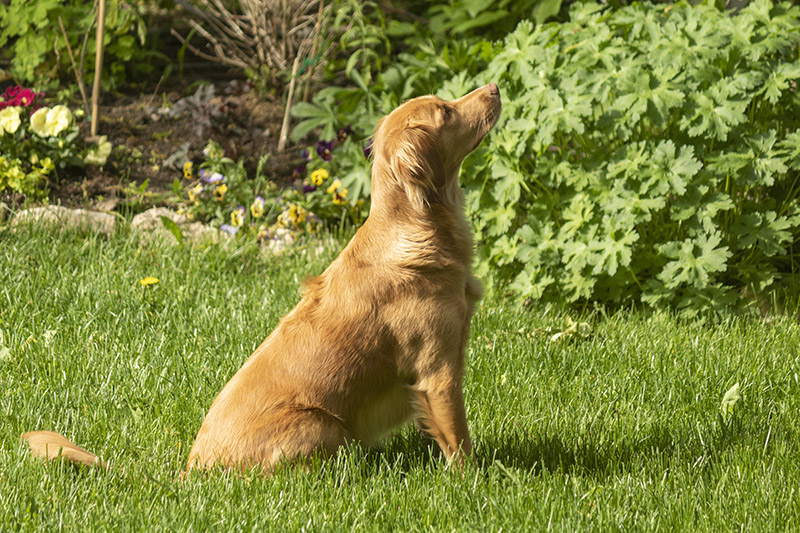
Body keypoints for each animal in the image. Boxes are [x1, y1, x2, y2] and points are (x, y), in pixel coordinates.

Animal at [23, 83, 500, 474]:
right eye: (445, 111)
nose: (494, 88)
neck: (417, 227)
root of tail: (192, 470)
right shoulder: (438, 371)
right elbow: (459, 442)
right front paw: (474, 482)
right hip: (323, 425)